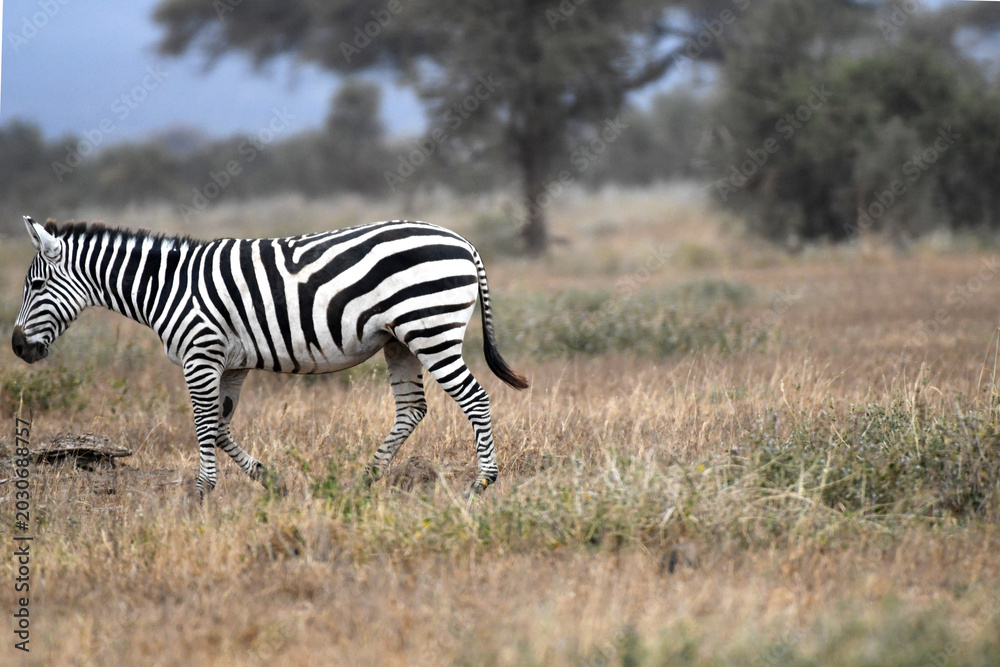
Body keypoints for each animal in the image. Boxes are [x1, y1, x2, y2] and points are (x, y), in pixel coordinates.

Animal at [11, 215, 528, 498]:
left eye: (35, 285)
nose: (16, 347)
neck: (167, 287)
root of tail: (463, 241)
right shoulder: (232, 362)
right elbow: (221, 426)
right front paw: (268, 479)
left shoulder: (200, 354)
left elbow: (204, 425)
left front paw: (201, 493)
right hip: (399, 339)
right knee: (412, 408)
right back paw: (366, 478)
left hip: (430, 328)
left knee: (475, 398)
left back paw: (482, 484)